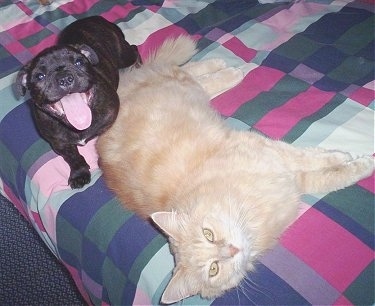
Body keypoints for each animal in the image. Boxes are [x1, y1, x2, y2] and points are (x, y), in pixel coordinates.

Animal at [14, 16, 141, 190]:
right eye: (39, 76)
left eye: (79, 62)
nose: (64, 78)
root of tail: (95, 18)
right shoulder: (59, 143)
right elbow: (73, 157)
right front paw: (79, 174)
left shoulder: (109, 121)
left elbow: (101, 144)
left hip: (123, 55)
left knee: (134, 50)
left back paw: (138, 65)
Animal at [97, 35, 375, 304]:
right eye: (214, 269)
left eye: (208, 234)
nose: (231, 250)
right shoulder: (290, 179)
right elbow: (328, 177)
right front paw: (358, 164)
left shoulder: (271, 152)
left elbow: (312, 157)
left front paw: (347, 157)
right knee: (193, 76)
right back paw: (228, 69)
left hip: (182, 84)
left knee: (190, 71)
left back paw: (226, 68)